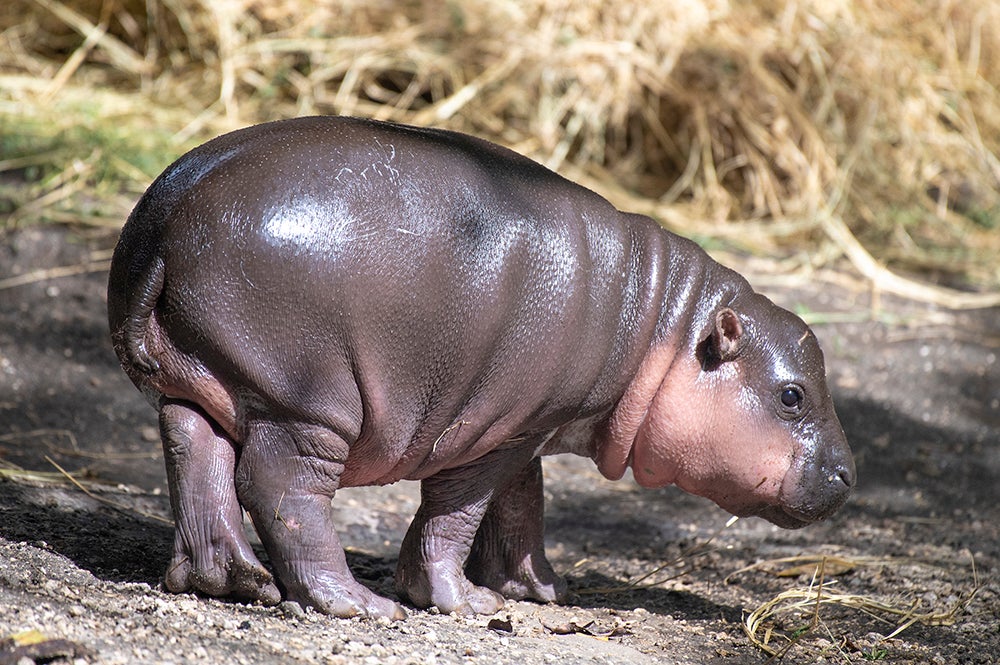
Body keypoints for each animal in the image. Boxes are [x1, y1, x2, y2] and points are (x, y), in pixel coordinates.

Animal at [107, 115, 854, 619]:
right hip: (307, 398)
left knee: (193, 450)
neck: (660, 321)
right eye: (791, 395)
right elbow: (457, 511)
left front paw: (540, 590)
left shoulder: (526, 421)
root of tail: (170, 214)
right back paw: (356, 604)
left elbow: (521, 504)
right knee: (281, 488)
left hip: (210, 376)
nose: (849, 474)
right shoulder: (494, 430)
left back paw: (232, 581)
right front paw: (461, 601)